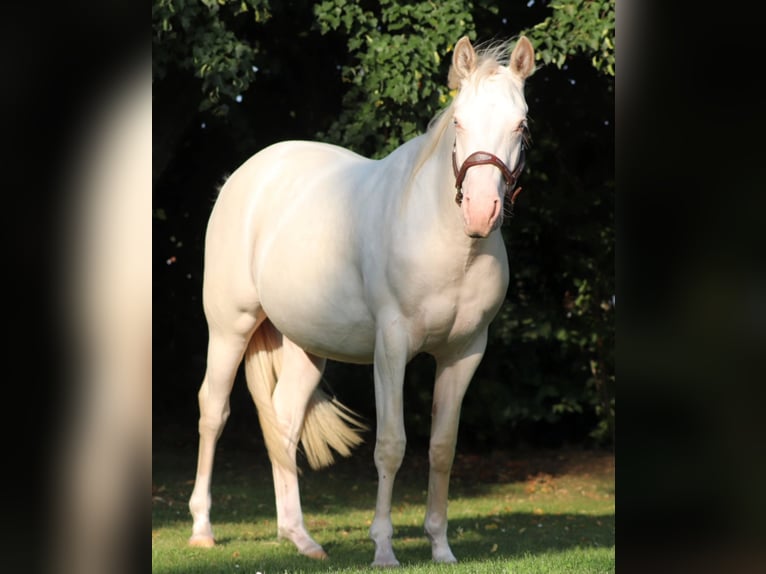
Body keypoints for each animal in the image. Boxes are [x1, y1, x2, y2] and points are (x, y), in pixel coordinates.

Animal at [187, 35, 535, 566]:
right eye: (459, 122)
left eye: (521, 125)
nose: (481, 212)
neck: (448, 243)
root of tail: (246, 176)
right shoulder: (390, 348)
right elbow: (391, 444)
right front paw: (384, 549)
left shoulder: (465, 352)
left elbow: (442, 448)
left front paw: (441, 548)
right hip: (230, 327)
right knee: (214, 411)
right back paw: (202, 529)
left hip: (306, 345)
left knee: (284, 420)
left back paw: (300, 537)